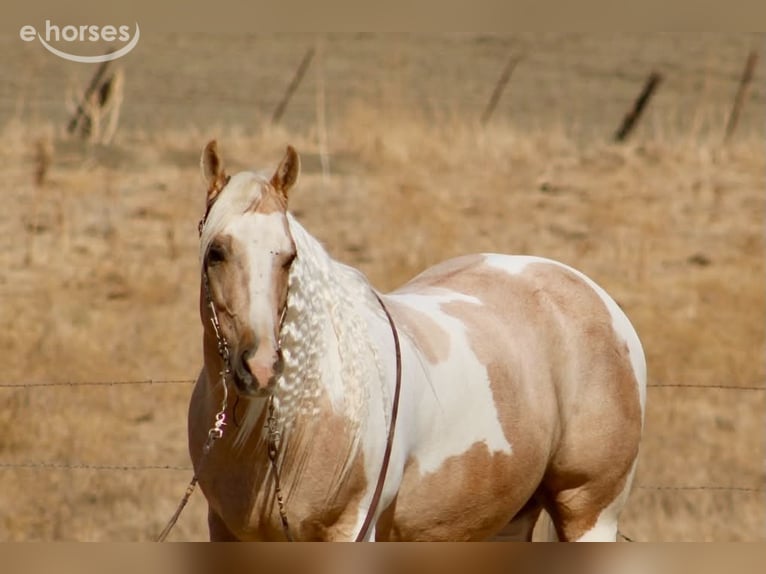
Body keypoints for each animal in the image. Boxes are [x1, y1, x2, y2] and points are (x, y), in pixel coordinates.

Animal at [188, 141, 647, 542]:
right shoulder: (224, 530)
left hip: (590, 513)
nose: (261, 367)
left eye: (288, 257)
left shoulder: (351, 529)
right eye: (216, 252)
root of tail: (594, 295)